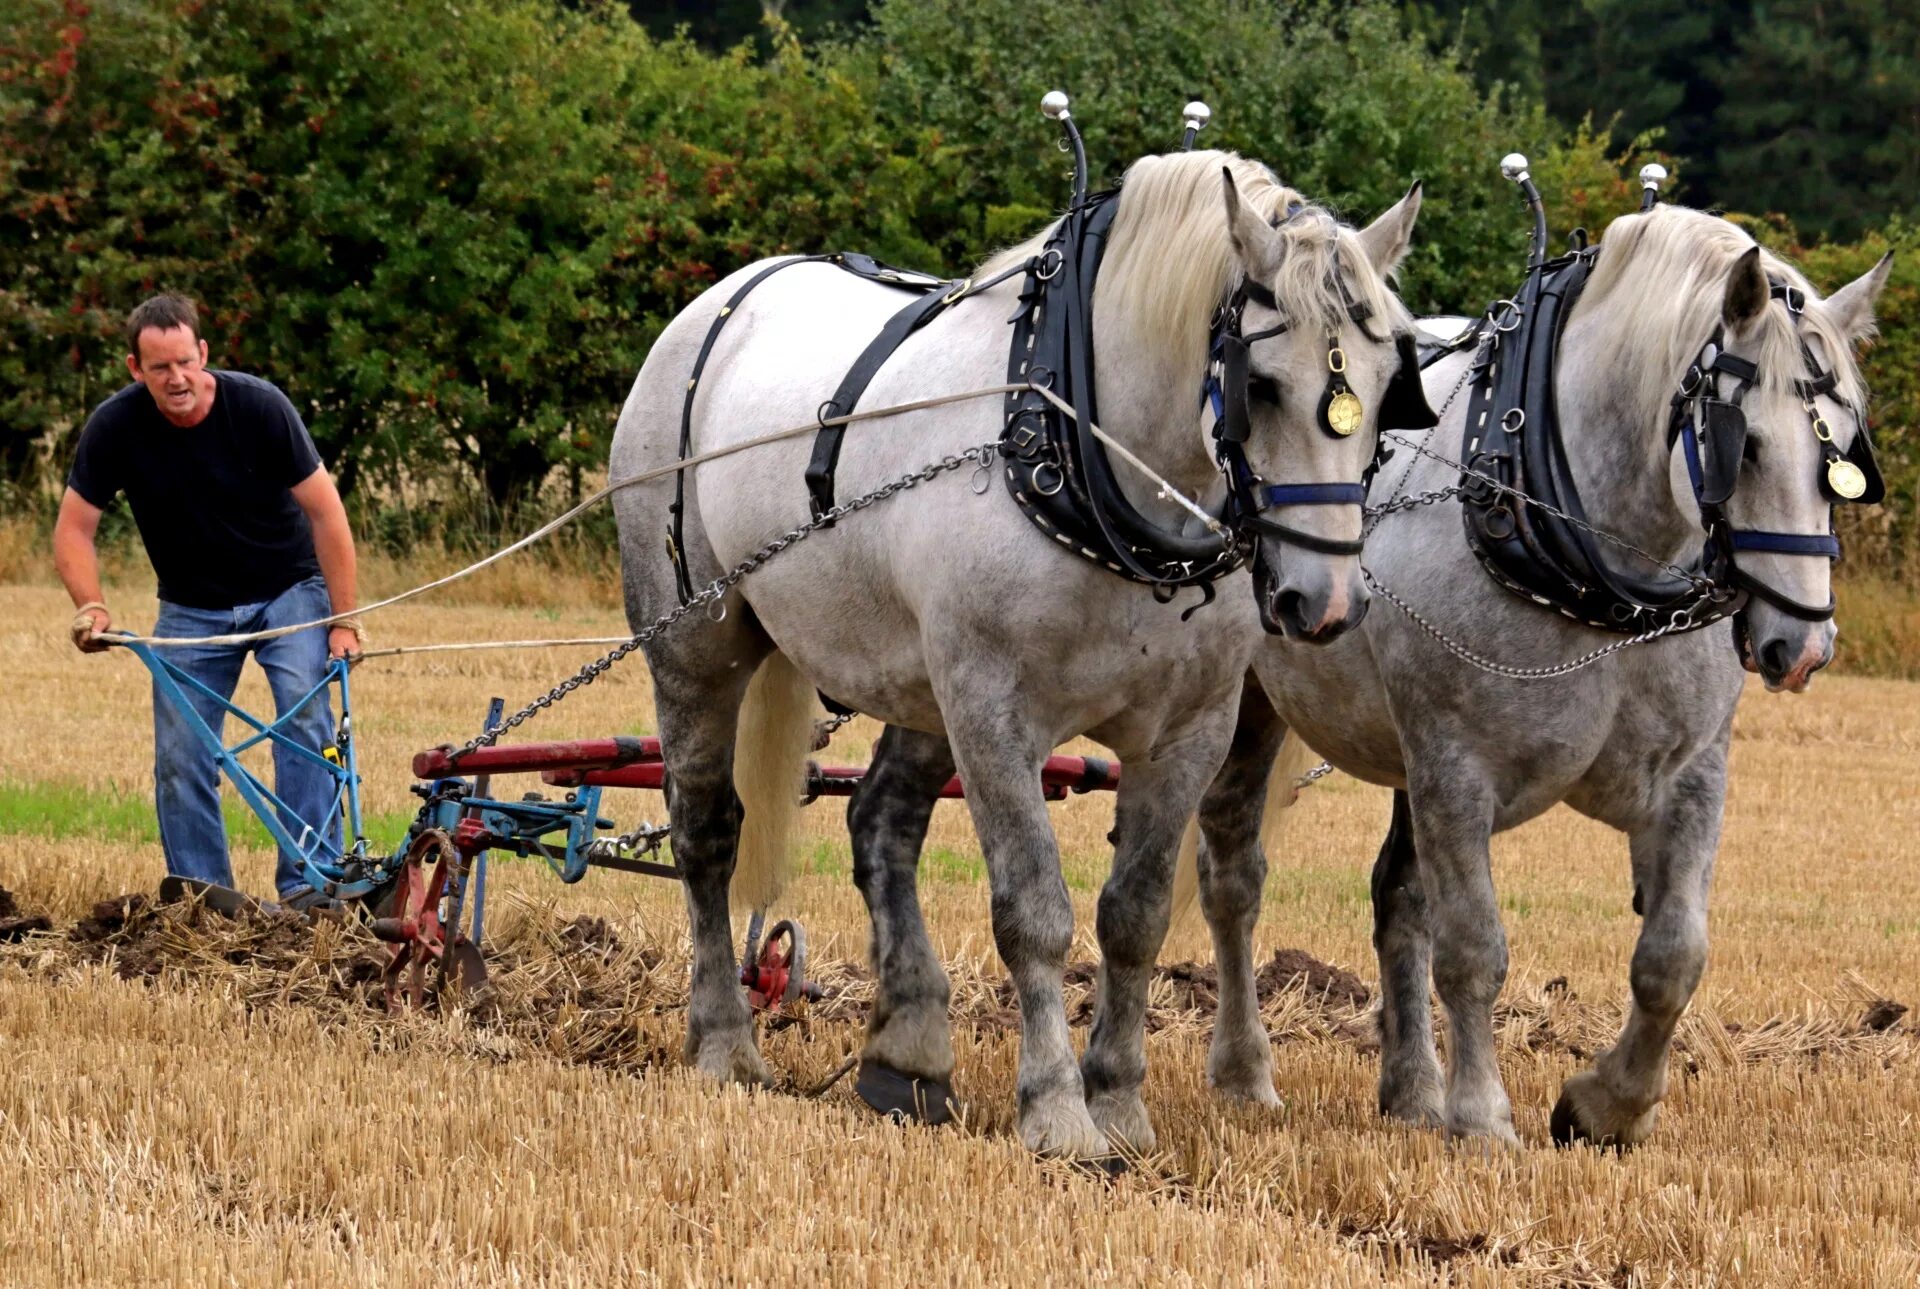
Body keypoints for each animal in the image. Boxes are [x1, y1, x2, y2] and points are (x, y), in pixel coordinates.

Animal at [610, 151, 1428, 1160]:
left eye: (1390, 381)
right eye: (1262, 384)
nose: (1325, 602)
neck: (1092, 462)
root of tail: (723, 298)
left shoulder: (1189, 730)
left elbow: (1136, 913)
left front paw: (1119, 1104)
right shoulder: (994, 712)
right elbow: (1034, 909)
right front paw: (1057, 1111)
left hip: (921, 681)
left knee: (881, 822)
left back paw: (910, 1050)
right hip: (699, 644)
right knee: (706, 829)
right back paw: (724, 1040)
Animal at [1182, 209, 1889, 1152]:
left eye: (1842, 454)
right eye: (1746, 446)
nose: (1803, 641)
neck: (1605, 570)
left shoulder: (1693, 776)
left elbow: (1674, 954)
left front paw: (1606, 1105)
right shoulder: (1457, 767)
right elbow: (1474, 948)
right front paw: (1484, 1117)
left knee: (1398, 895)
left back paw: (1413, 1089)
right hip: (1262, 705)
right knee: (1234, 870)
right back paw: (1245, 1073)